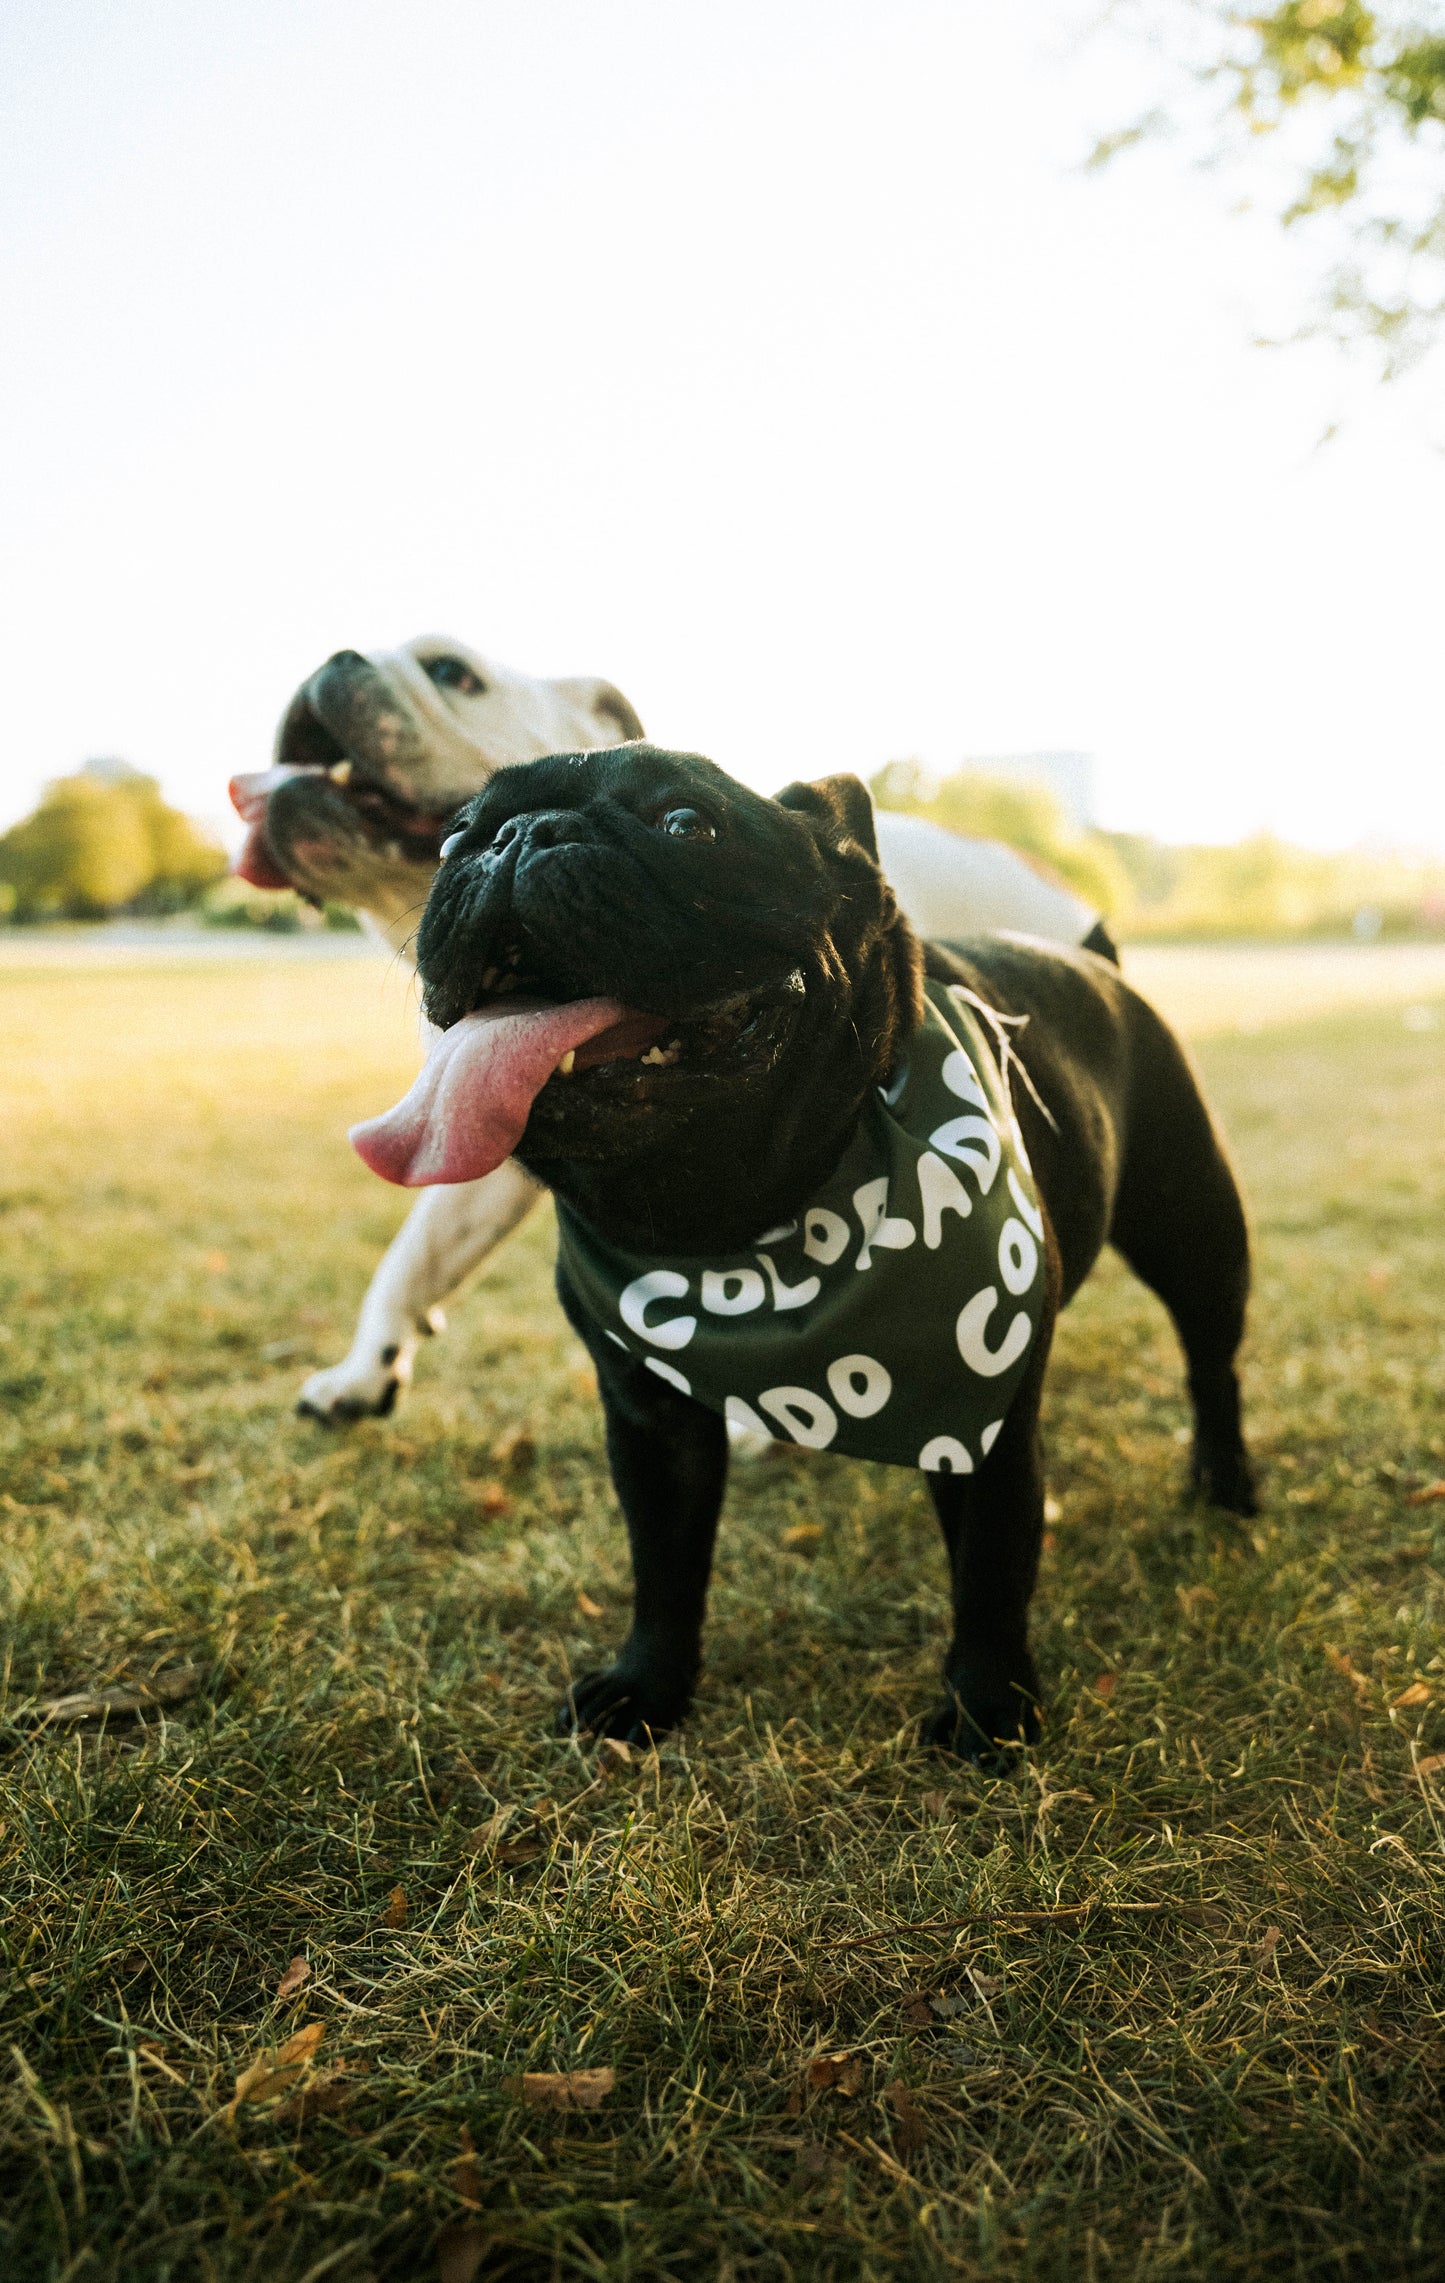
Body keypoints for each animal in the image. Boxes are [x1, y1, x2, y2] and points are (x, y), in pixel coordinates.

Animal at [230, 643, 1100, 1415]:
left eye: (451, 672)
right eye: (457, 832)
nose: (522, 832)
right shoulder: (470, 1125)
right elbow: (413, 1255)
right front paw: (363, 1370)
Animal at [351, 739, 1250, 1753]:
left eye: (687, 824)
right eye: (453, 837)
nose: (518, 834)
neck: (745, 1224)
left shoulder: (985, 1419)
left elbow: (989, 1566)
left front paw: (985, 1708)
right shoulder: (650, 1422)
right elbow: (663, 1564)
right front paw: (646, 1686)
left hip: (1198, 1236)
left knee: (1211, 1363)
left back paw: (1224, 1486)